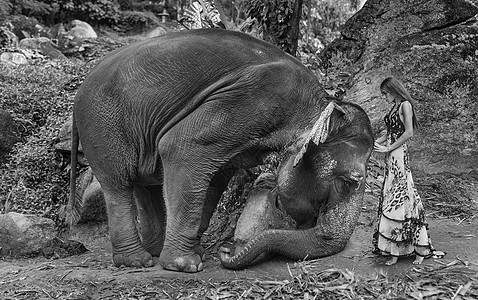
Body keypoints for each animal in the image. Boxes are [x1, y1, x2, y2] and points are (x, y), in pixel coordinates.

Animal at [68, 28, 374, 272]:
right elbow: (180, 148)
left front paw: (198, 252)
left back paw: (154, 251)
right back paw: (136, 262)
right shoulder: (255, 99)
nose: (228, 249)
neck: (321, 101)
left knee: (146, 182)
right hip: (102, 122)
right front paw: (186, 265)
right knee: (119, 184)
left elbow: (216, 176)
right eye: (347, 182)